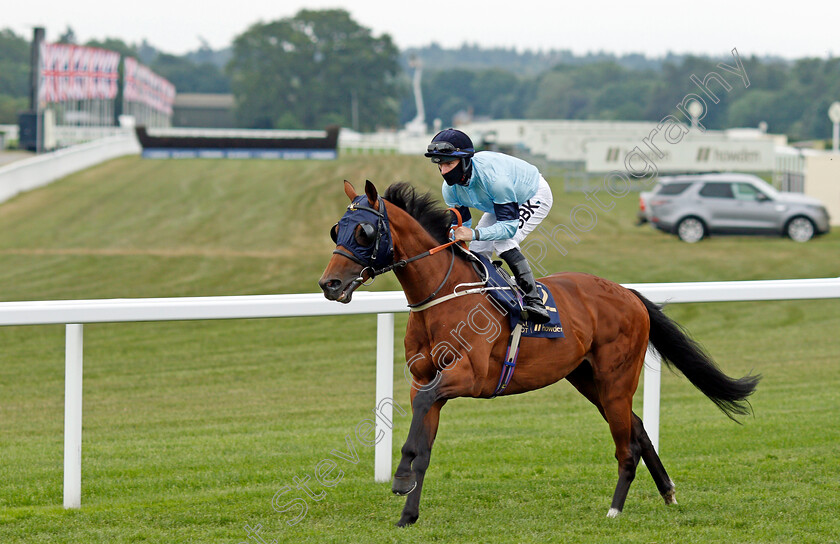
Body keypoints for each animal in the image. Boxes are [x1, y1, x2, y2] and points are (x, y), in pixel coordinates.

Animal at [316, 180, 760, 528]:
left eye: (365, 232)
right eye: (338, 230)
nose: (329, 284)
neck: (443, 297)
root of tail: (627, 293)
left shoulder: (469, 377)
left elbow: (420, 430)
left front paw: (399, 478)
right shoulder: (424, 381)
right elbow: (424, 445)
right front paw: (408, 513)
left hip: (616, 379)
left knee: (627, 445)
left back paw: (615, 510)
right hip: (588, 379)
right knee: (638, 429)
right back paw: (667, 492)